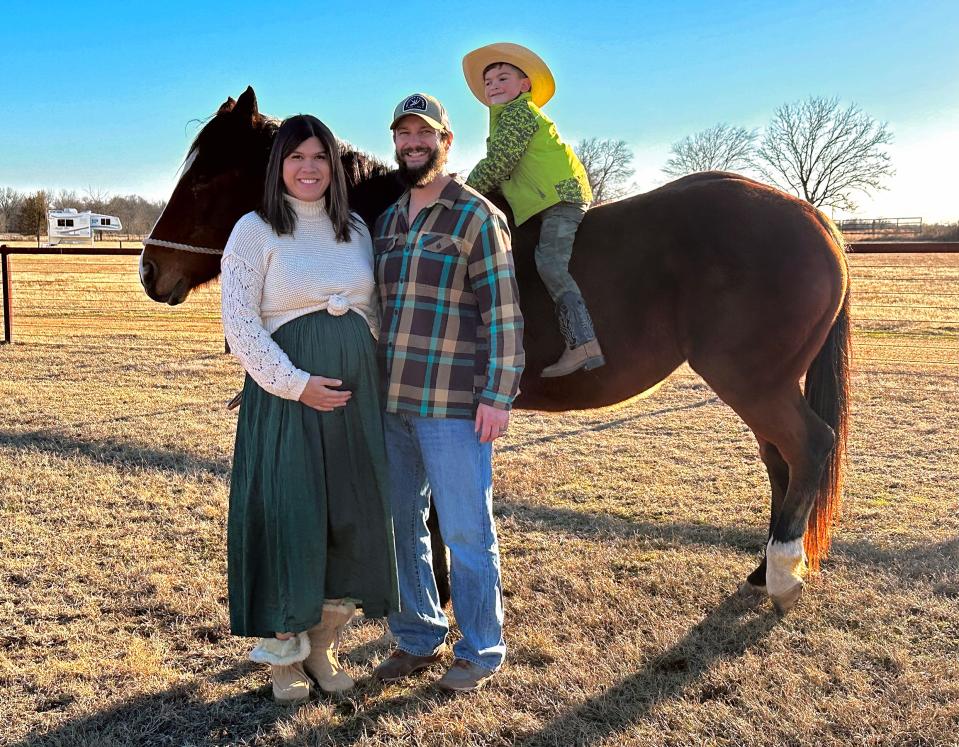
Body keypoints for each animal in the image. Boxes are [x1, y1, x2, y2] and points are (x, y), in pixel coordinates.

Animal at [141, 87, 848, 612]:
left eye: (202, 182)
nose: (150, 271)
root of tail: (811, 215)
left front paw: (438, 590)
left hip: (755, 383)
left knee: (810, 447)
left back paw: (782, 573)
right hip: (763, 386)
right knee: (782, 462)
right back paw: (764, 567)